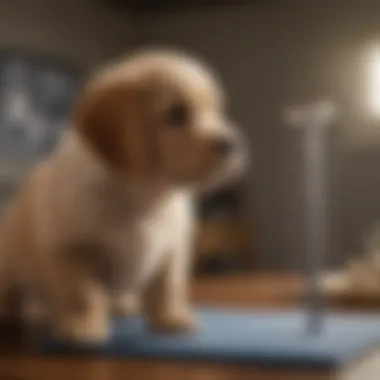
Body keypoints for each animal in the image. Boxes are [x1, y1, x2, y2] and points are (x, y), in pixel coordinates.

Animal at [0, 49, 246, 342]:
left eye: (216, 111)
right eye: (176, 114)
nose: (232, 143)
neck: (143, 195)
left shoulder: (172, 249)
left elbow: (168, 287)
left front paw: (171, 319)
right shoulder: (70, 250)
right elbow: (82, 293)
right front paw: (82, 326)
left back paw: (123, 306)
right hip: (10, 263)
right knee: (13, 292)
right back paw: (12, 313)